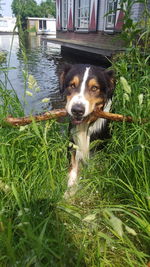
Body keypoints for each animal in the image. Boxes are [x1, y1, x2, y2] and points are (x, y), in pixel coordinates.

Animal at [59, 62, 115, 197]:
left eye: (94, 88)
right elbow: (73, 167)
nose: (77, 110)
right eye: (72, 85)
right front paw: (70, 190)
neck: (86, 124)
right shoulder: (72, 143)